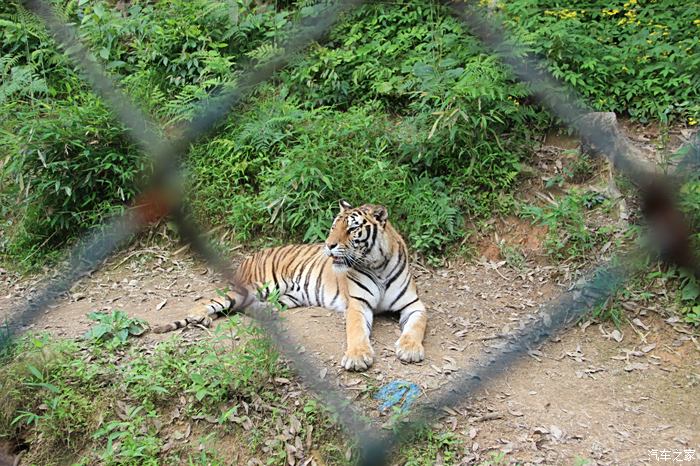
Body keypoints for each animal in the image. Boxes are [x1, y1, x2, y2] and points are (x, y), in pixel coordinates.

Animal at [153, 200, 426, 372]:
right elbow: (357, 330)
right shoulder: (358, 306)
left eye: (352, 229)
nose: (328, 245)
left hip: (283, 297)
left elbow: (416, 326)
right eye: (333, 226)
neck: (378, 265)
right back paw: (199, 317)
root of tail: (249, 256)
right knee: (210, 302)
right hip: (252, 288)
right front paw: (358, 357)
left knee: (248, 308)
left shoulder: (415, 305)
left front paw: (410, 349)